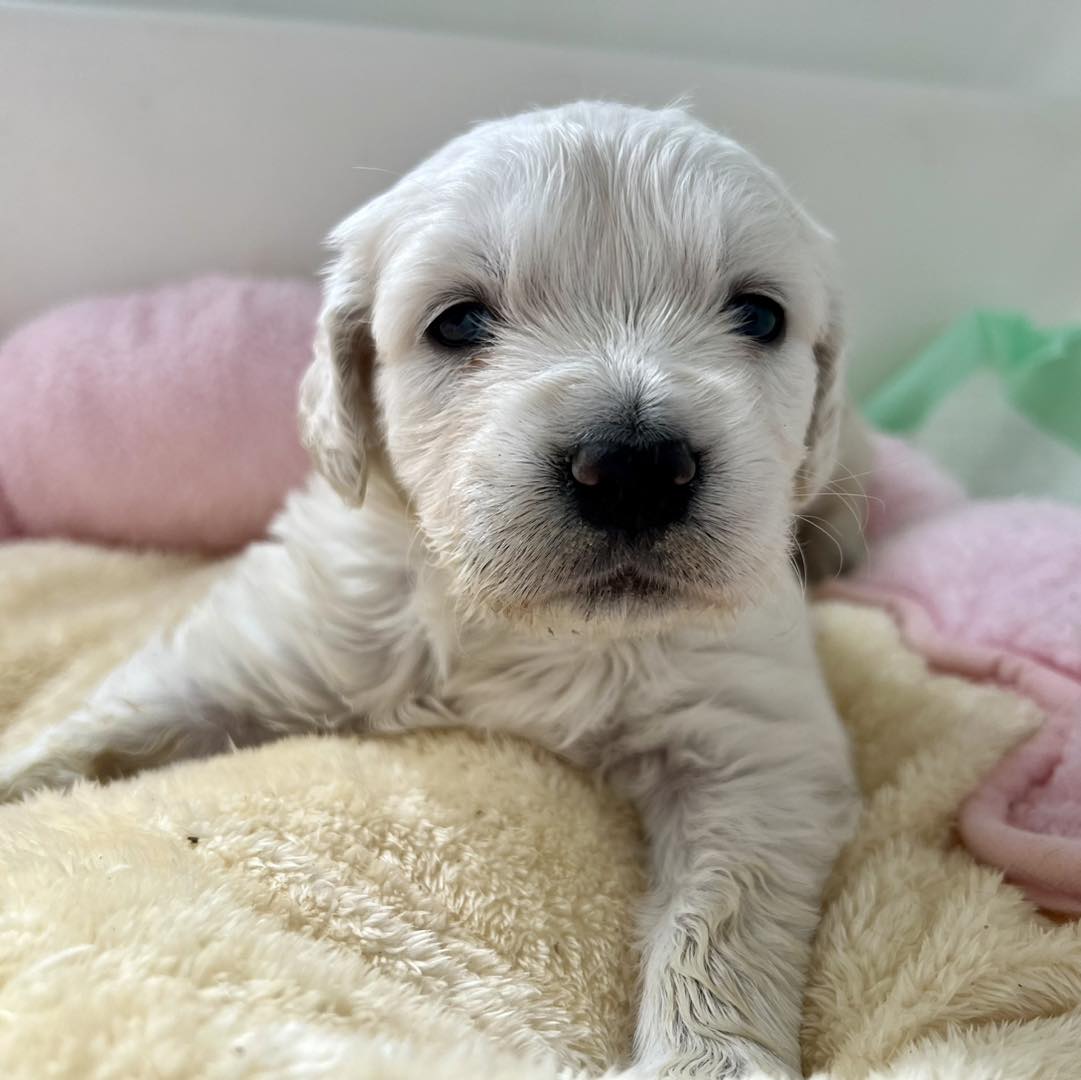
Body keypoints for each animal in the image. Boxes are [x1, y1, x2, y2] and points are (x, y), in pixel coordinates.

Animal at [0, 103, 864, 1080]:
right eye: (457, 324)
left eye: (757, 314)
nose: (635, 468)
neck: (515, 623)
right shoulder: (284, 637)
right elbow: (114, 723)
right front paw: (22, 778)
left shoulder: (755, 742)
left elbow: (723, 912)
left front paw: (707, 1060)